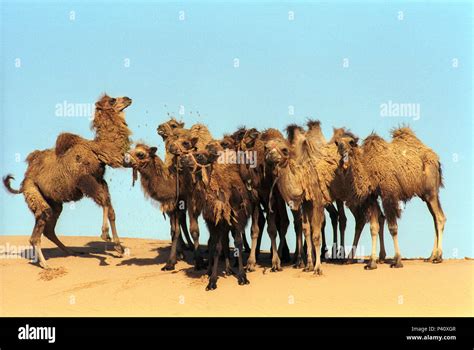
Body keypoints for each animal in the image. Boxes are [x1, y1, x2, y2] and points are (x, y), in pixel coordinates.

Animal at [2, 93, 132, 268]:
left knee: (49, 227)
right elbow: (104, 201)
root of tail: (23, 182)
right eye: (112, 100)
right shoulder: (85, 180)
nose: (128, 98)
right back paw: (46, 265)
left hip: (53, 201)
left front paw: (118, 248)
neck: (96, 151)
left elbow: (111, 210)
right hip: (33, 192)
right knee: (39, 226)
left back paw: (71, 252)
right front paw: (105, 235)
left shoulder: (100, 180)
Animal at [178, 141, 252, 292]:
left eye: (199, 156)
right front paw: (212, 281)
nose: (182, 159)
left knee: (225, 241)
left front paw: (243, 277)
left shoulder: (238, 218)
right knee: (214, 242)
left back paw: (229, 269)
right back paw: (210, 271)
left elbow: (238, 243)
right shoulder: (216, 221)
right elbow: (217, 247)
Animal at [334, 127, 444, 270]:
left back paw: (438, 257)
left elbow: (392, 228)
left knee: (440, 218)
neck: (369, 170)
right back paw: (431, 257)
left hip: (431, 192)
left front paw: (397, 261)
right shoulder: (372, 197)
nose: (344, 158)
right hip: (425, 195)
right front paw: (371, 263)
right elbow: (374, 227)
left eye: (351, 142)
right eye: (338, 144)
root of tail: (436, 160)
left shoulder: (388, 194)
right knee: (435, 219)